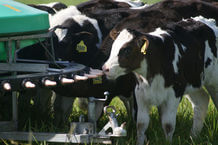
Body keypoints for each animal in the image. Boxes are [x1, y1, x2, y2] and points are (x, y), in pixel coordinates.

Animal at [102, 16, 218, 144]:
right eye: (113, 48)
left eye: (127, 50)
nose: (105, 68)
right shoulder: (140, 94)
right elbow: (141, 125)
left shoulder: (174, 93)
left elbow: (168, 126)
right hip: (194, 81)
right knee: (202, 101)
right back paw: (193, 137)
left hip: (213, 82)